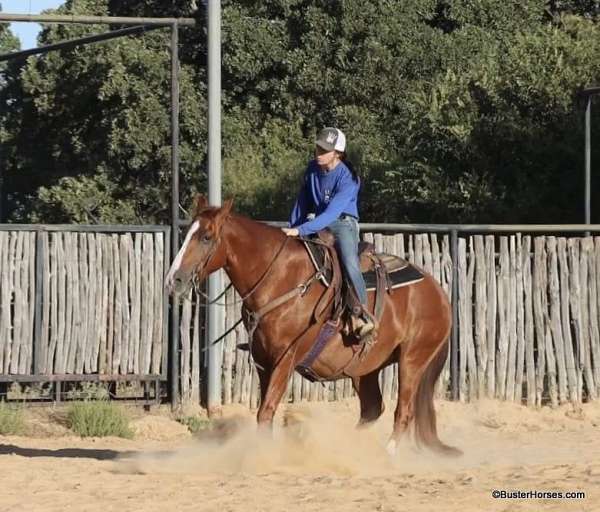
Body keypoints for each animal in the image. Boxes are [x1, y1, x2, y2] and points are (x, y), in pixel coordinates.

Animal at [164, 195, 460, 456]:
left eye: (206, 237)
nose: (173, 280)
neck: (280, 278)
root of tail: (438, 292)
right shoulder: (263, 361)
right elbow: (264, 411)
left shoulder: (286, 358)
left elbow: (266, 410)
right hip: (366, 368)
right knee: (372, 408)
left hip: (413, 359)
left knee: (404, 411)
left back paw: (386, 454)